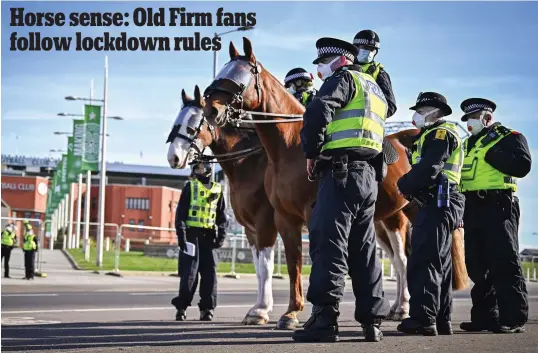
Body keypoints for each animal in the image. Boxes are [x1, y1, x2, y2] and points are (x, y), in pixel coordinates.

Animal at [201, 37, 464, 324]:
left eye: (240, 77)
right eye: (221, 73)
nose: (211, 110)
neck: (288, 147)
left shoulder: (303, 214)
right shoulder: (284, 218)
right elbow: (293, 263)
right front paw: (290, 311)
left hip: (413, 212)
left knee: (410, 258)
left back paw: (408, 308)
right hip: (386, 218)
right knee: (399, 260)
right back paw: (398, 307)